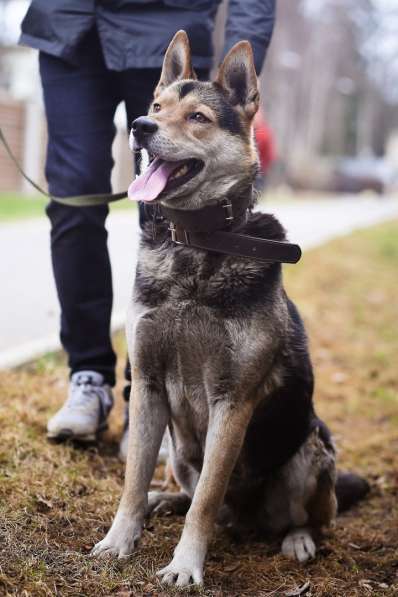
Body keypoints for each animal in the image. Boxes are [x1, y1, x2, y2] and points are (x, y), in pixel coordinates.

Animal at [91, 30, 368, 584]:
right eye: (157, 107)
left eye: (198, 117)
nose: (139, 126)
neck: (197, 244)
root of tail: (243, 519)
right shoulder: (147, 386)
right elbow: (133, 481)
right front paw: (120, 538)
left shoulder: (232, 402)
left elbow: (206, 499)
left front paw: (185, 564)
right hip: (178, 452)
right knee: (191, 493)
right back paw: (162, 500)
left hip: (309, 450)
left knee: (299, 517)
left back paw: (298, 539)